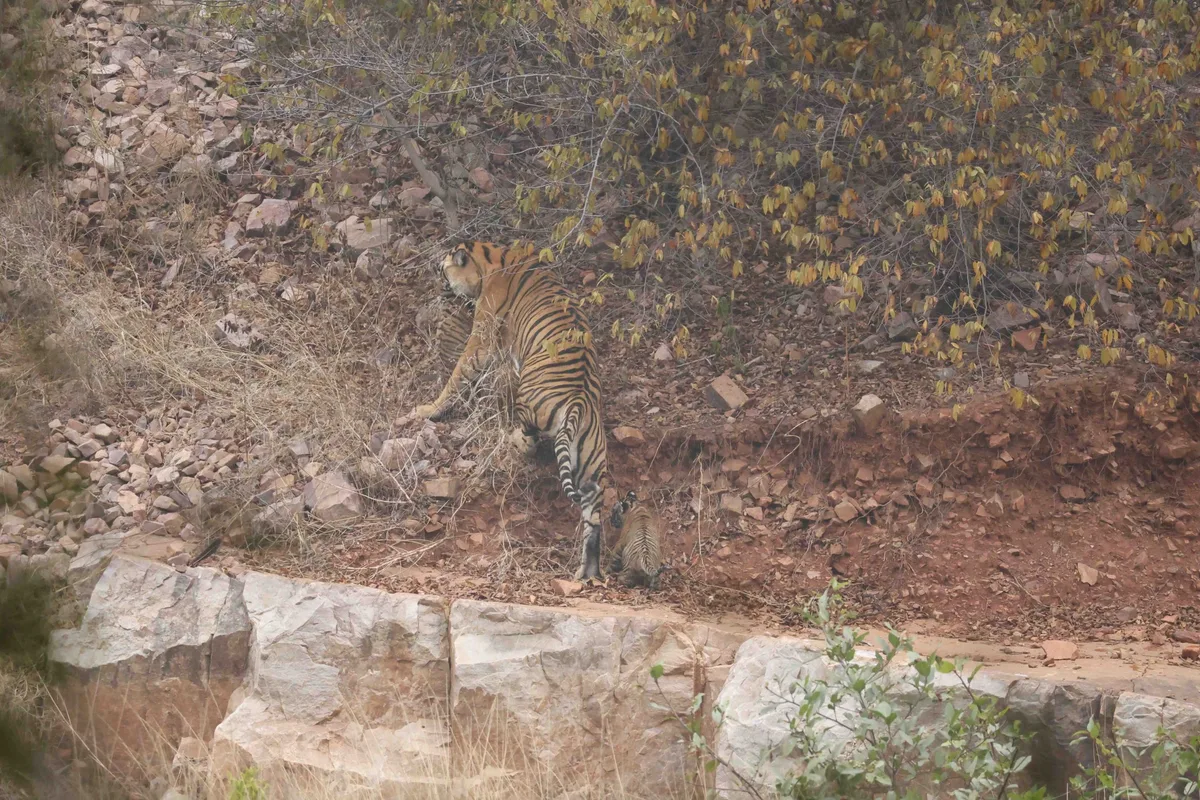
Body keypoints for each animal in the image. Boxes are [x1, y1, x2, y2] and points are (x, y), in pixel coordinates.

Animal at [411, 241, 610, 581]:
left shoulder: (482, 337)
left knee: (529, 437)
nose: (438, 287)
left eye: (442, 270)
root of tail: (579, 404)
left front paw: (430, 409)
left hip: (530, 399)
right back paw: (586, 574)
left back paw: (512, 438)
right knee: (593, 523)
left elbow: (458, 374)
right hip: (591, 468)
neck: (493, 259)